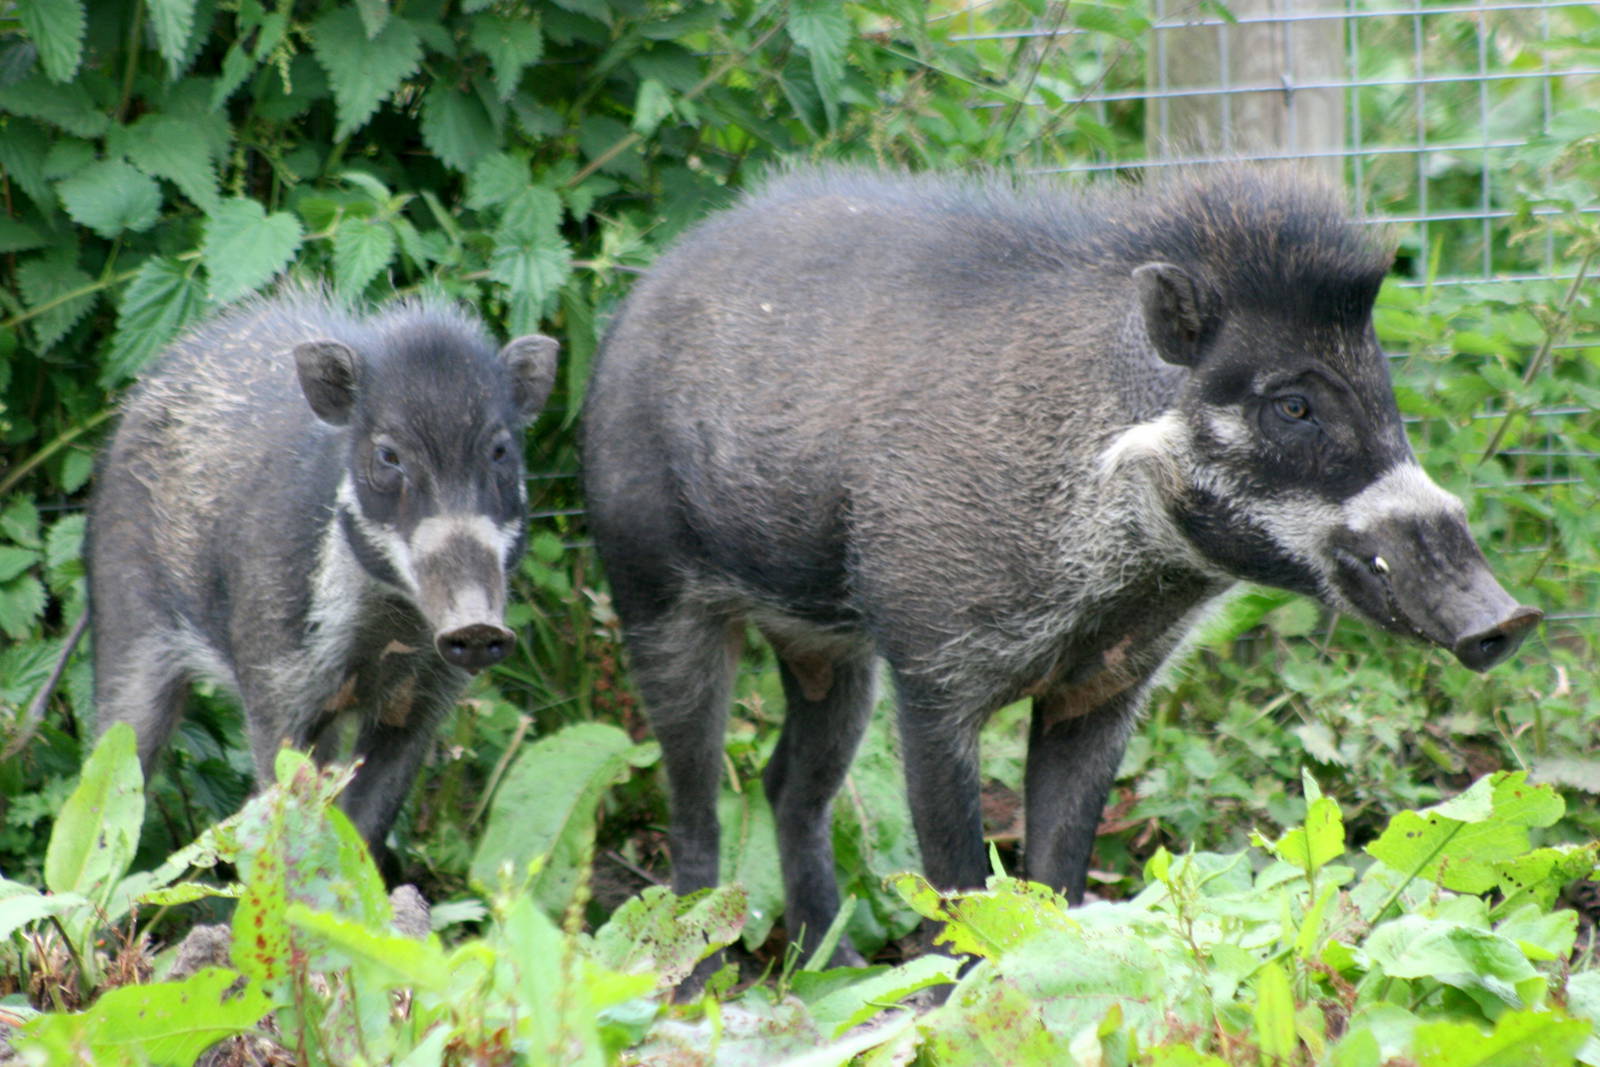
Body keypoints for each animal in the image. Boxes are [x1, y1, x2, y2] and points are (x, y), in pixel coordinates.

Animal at [89, 292, 557, 862]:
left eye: (500, 450)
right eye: (388, 455)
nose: (476, 627)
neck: (386, 630)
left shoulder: (420, 707)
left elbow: (363, 829)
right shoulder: (277, 690)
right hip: (125, 624)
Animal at [580, 166, 1541, 971]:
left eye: (1384, 389)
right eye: (1293, 404)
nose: (1509, 618)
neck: (1118, 576)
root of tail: (634, 301)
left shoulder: (1104, 688)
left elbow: (1059, 868)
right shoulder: (932, 667)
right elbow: (959, 873)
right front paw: (963, 992)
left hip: (828, 650)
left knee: (789, 786)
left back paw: (837, 970)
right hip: (653, 592)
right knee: (696, 797)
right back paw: (698, 975)